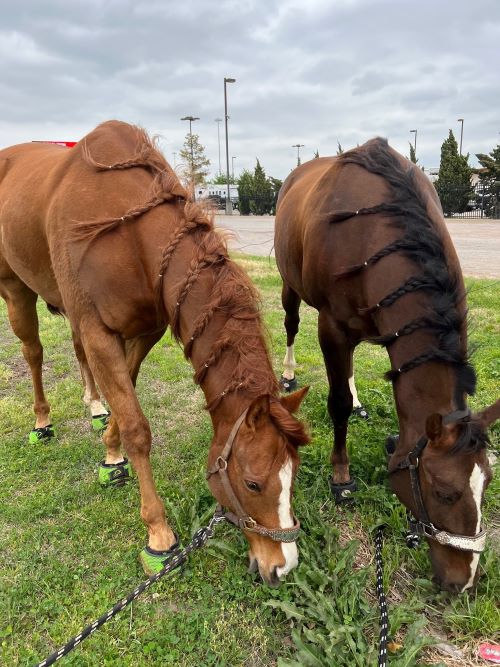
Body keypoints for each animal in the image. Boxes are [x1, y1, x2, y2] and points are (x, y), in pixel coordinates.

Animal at [0, 120, 310, 585]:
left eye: (294, 475)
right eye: (254, 483)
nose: (283, 566)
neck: (129, 236)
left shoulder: (145, 329)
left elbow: (125, 394)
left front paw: (111, 452)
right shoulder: (99, 331)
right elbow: (137, 427)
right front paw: (159, 536)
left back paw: (94, 406)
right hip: (15, 288)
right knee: (33, 352)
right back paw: (42, 421)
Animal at [274, 138, 498, 592]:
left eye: (486, 485)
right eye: (444, 492)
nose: (464, 581)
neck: (375, 230)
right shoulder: (332, 327)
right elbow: (337, 403)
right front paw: (341, 478)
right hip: (291, 287)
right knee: (290, 325)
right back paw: (287, 374)